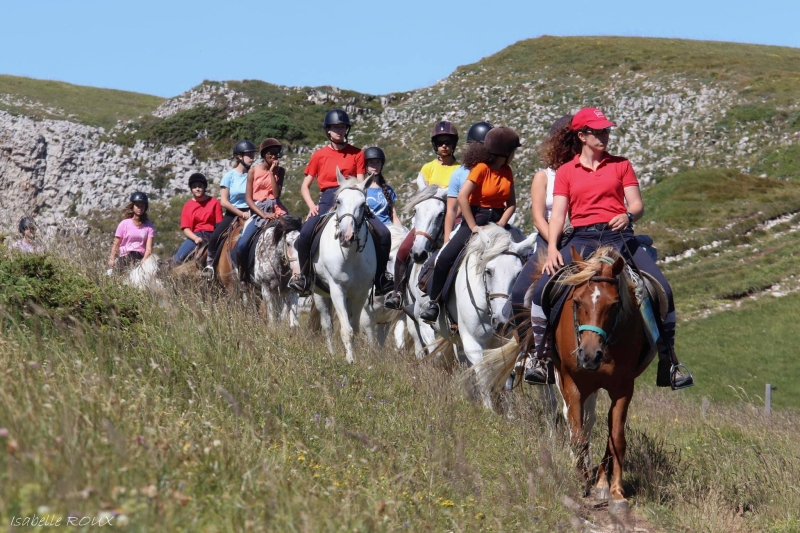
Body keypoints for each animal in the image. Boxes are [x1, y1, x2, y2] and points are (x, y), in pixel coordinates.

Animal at [310, 169, 378, 362]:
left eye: (363, 204)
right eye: (338, 201)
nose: (346, 236)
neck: (350, 256)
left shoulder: (360, 293)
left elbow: (354, 327)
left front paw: (353, 356)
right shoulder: (337, 289)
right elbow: (346, 330)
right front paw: (350, 360)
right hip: (319, 293)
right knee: (327, 325)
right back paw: (332, 353)